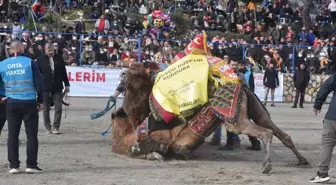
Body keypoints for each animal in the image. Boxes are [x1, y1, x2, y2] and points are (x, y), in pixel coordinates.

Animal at [111, 62, 310, 173]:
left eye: (135, 70)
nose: (121, 73)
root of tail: (241, 84)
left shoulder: (158, 139)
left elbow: (137, 149)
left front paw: (155, 154)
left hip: (235, 119)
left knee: (265, 132)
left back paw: (266, 166)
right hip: (256, 108)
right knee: (278, 132)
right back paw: (302, 160)